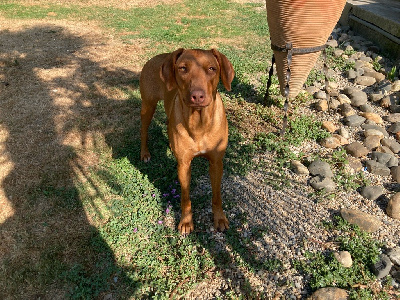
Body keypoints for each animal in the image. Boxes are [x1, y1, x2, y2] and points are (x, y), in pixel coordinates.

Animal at [140, 48, 234, 234]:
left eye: (212, 69)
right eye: (183, 68)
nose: (197, 96)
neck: (199, 124)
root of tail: (157, 58)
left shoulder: (216, 162)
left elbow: (217, 195)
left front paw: (220, 218)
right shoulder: (184, 164)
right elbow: (185, 197)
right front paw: (186, 221)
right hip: (148, 106)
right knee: (143, 130)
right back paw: (144, 152)